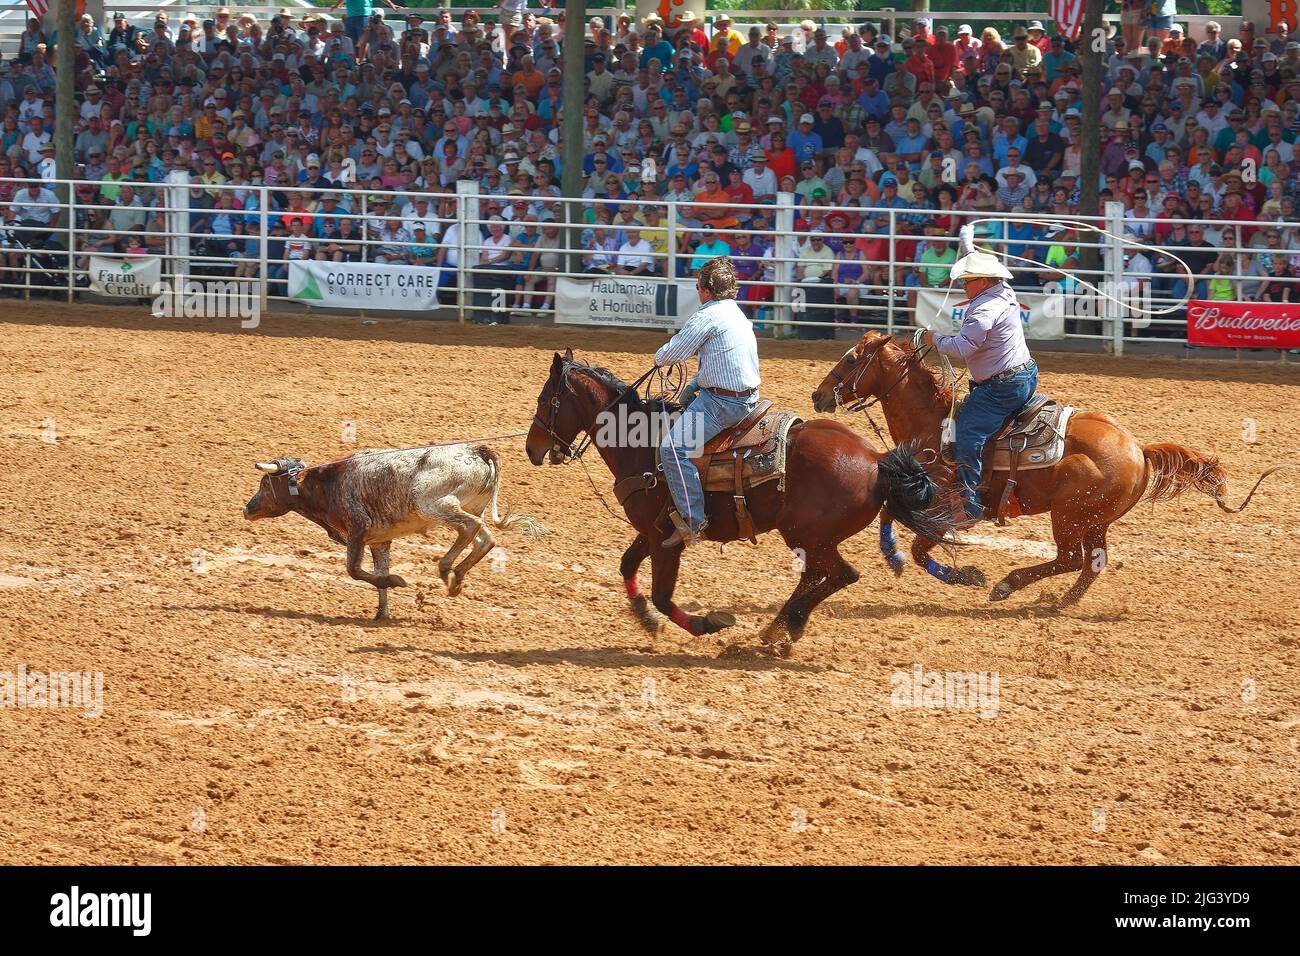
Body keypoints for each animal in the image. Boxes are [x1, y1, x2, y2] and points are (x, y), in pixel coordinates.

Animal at [527, 351, 967, 658]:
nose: (532, 449)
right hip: (812, 538)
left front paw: (708, 623)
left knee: (842, 575)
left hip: (808, 535)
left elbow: (663, 595)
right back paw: (779, 629)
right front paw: (647, 621)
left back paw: (785, 626)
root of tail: (877, 459)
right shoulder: (651, 531)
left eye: (546, 399)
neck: (641, 445)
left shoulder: (665, 536)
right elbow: (627, 568)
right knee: (818, 576)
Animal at [811, 332, 1289, 606]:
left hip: (1069, 513)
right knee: (1091, 563)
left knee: (1069, 557)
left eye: (851, 358)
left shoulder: (951, 506)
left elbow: (920, 547)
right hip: (1095, 519)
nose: (818, 395)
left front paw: (966, 576)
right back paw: (1059, 602)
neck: (934, 425)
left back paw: (1008, 585)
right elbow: (895, 522)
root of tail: (1138, 447)